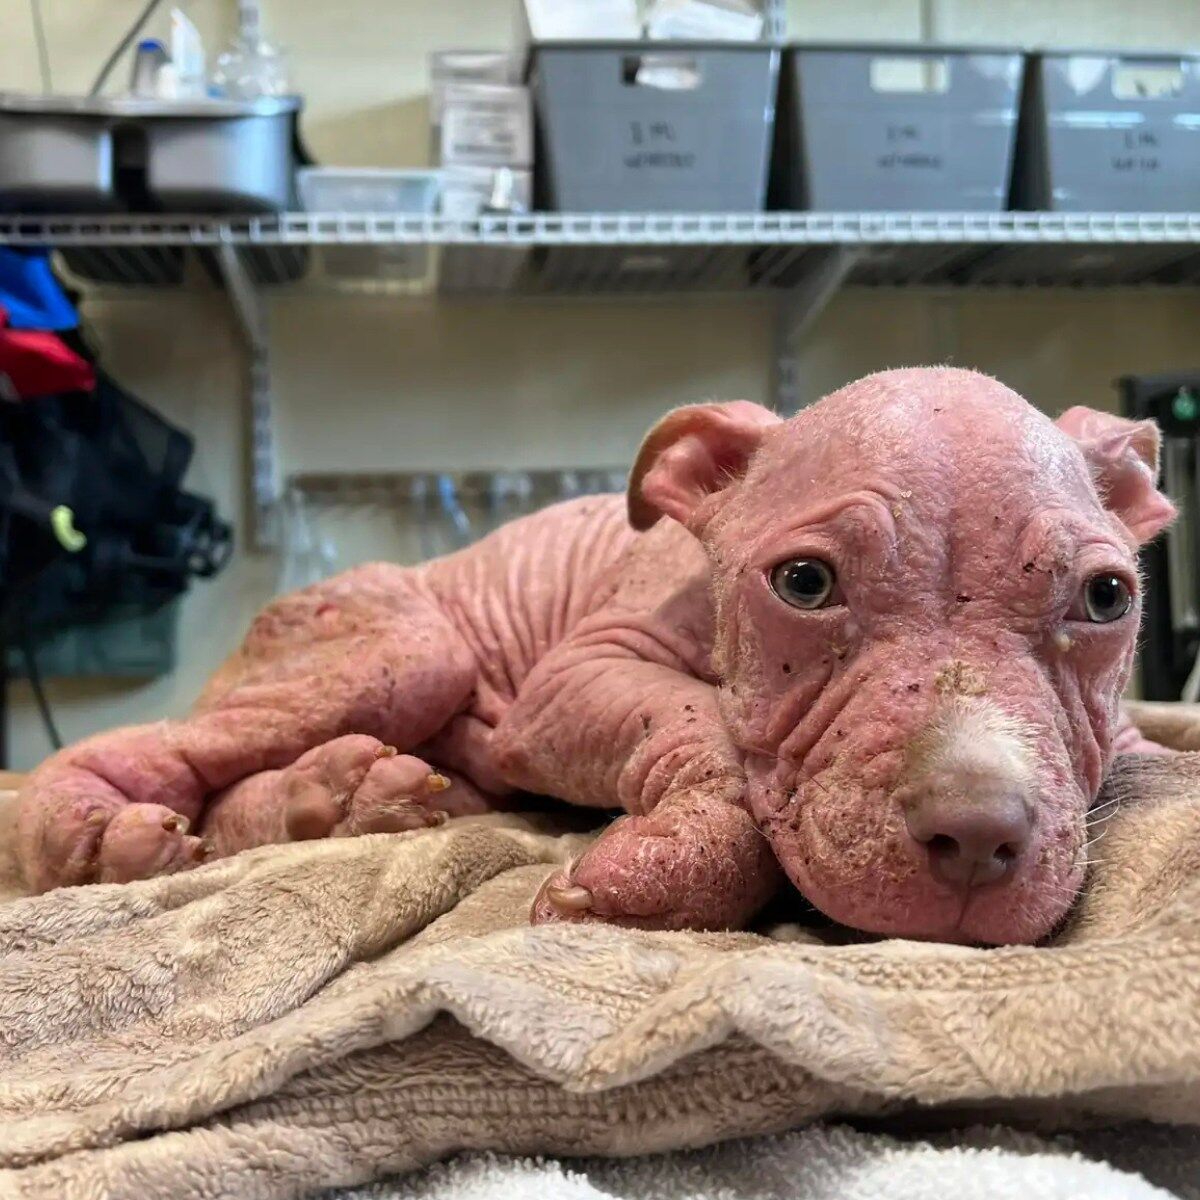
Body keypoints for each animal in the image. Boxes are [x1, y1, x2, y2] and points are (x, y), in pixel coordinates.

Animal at [14, 368, 1175, 946]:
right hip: (411, 644)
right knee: (148, 751)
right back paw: (85, 830)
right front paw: (674, 863)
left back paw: (333, 802)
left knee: (231, 796)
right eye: (805, 583)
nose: (977, 839)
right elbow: (698, 725)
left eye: (1107, 598)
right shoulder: (571, 683)